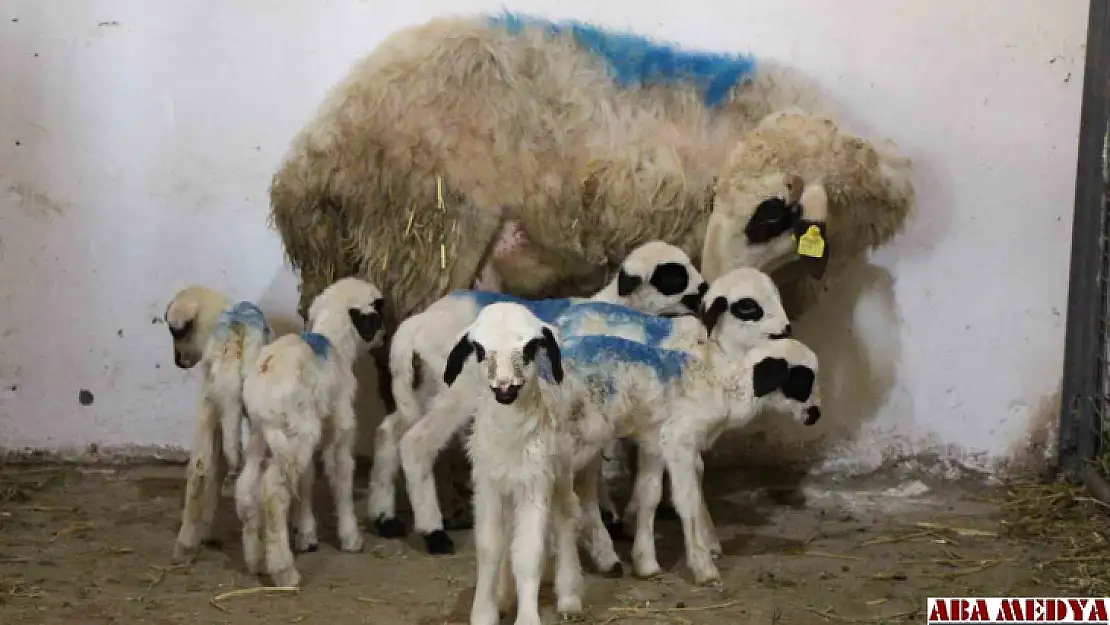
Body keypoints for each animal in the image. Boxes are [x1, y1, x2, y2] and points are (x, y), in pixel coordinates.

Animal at [164, 286, 277, 559]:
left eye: (176, 331)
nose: (178, 361)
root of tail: (235, 334)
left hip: (210, 400)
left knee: (201, 465)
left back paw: (186, 544)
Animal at [235, 276, 386, 590]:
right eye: (377, 311)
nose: (384, 335)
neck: (334, 344)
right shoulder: (340, 427)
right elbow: (341, 476)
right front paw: (350, 536)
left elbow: (306, 480)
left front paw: (306, 534)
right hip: (295, 432)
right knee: (273, 494)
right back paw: (283, 571)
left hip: (264, 437)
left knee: (246, 488)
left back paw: (255, 560)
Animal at [368, 239, 705, 552]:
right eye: (673, 277)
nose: (704, 289)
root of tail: (419, 321)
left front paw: (606, 515)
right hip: (460, 390)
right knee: (416, 442)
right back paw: (433, 532)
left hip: (431, 384)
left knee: (390, 430)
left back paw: (385, 517)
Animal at [439, 304, 586, 625]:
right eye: (479, 349)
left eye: (530, 347)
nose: (505, 387)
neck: (509, 439)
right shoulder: (487, 486)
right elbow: (489, 547)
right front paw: (485, 612)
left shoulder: (534, 486)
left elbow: (529, 553)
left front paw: (528, 617)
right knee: (508, 536)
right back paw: (505, 597)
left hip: (560, 473)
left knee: (565, 518)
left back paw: (569, 598)